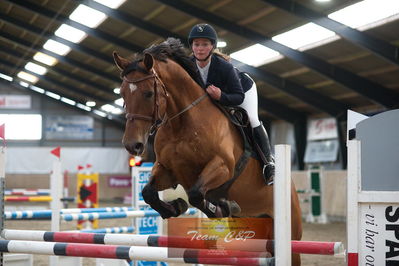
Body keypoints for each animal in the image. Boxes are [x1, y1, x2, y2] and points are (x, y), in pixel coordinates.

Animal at [114, 37, 302, 264]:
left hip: (291, 235)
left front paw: (222, 207)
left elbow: (196, 195)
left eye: (148, 94)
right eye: (122, 94)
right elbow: (148, 192)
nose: (132, 145)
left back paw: (270, 172)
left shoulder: (222, 167)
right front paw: (176, 206)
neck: (181, 123)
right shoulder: (168, 170)